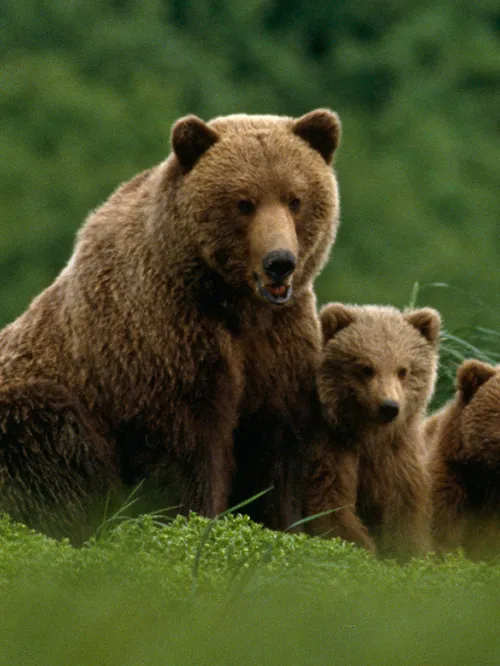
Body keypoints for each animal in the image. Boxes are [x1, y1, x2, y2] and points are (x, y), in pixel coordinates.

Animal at [304, 304, 442, 556]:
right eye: (366, 368)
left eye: (403, 370)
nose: (389, 407)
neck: (369, 436)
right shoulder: (330, 447)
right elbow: (330, 505)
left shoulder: (396, 454)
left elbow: (403, 511)